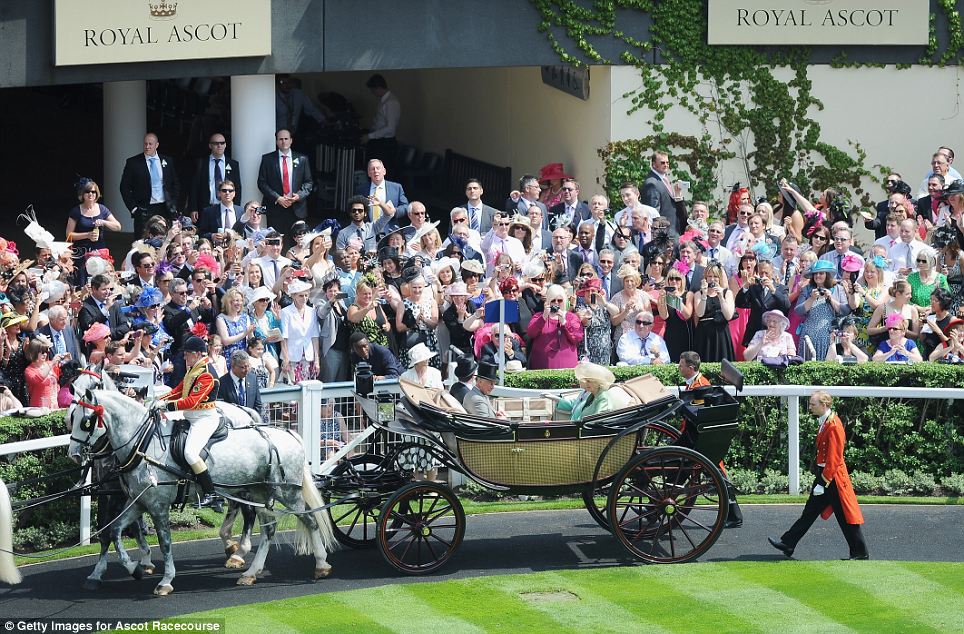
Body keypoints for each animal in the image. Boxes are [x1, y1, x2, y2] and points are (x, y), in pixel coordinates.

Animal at [60, 386, 338, 592]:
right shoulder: (137, 502)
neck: (144, 444)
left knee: (310, 520)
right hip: (259, 492)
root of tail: (289, 434)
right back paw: (250, 571)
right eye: (70, 418)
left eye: (85, 421)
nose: (74, 454)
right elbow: (115, 532)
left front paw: (165, 581)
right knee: (268, 529)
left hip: (287, 493)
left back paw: (321, 564)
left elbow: (165, 543)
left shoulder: (157, 506)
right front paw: (134, 568)